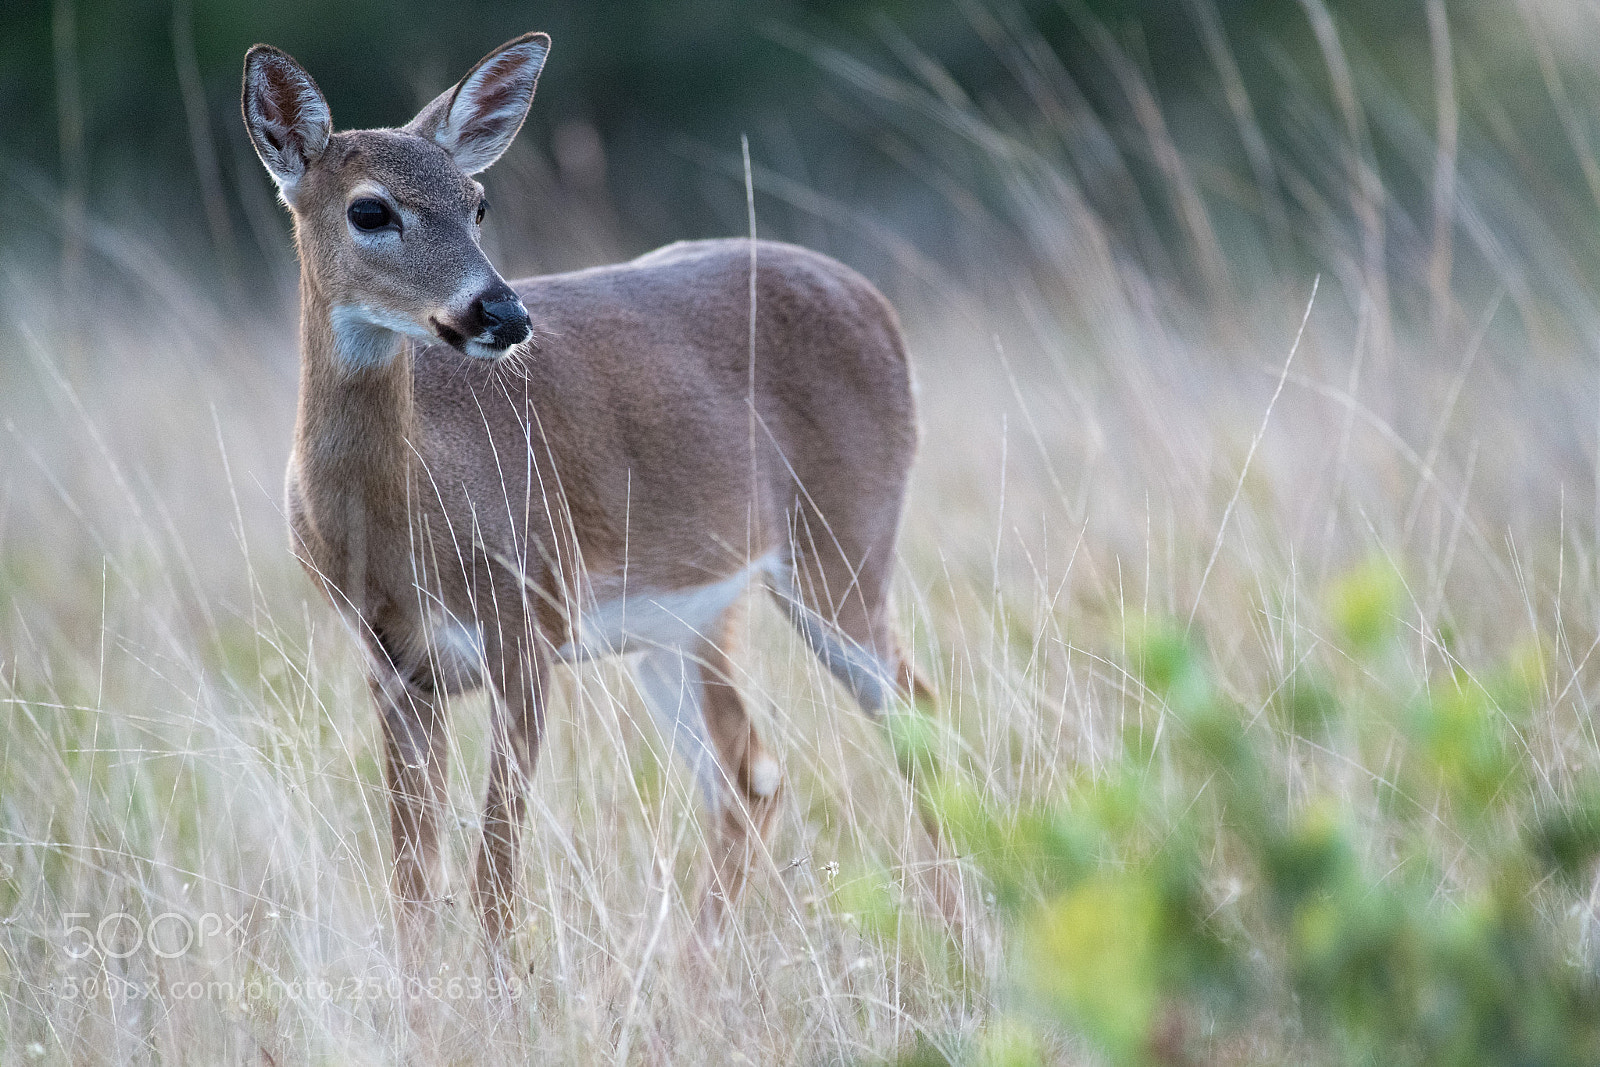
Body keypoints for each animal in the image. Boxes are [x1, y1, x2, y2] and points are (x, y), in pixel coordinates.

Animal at [241, 31, 938, 952]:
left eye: (478, 202)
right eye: (370, 211)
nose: (502, 313)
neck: (402, 521)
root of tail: (877, 304)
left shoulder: (530, 620)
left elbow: (494, 878)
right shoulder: (391, 663)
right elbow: (413, 890)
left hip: (846, 545)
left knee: (918, 722)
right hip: (685, 621)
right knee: (751, 775)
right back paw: (692, 968)